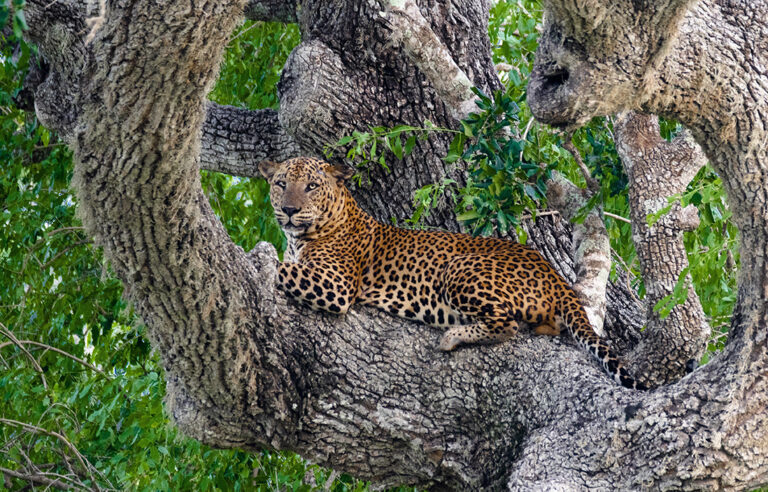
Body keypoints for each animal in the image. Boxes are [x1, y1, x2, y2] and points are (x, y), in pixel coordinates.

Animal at [259, 156, 643, 390]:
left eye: (311, 186)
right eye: (280, 184)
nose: (289, 210)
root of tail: (554, 275)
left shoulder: (335, 285)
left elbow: (284, 269)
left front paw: (258, 256)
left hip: (458, 267)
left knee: (508, 325)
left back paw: (453, 335)